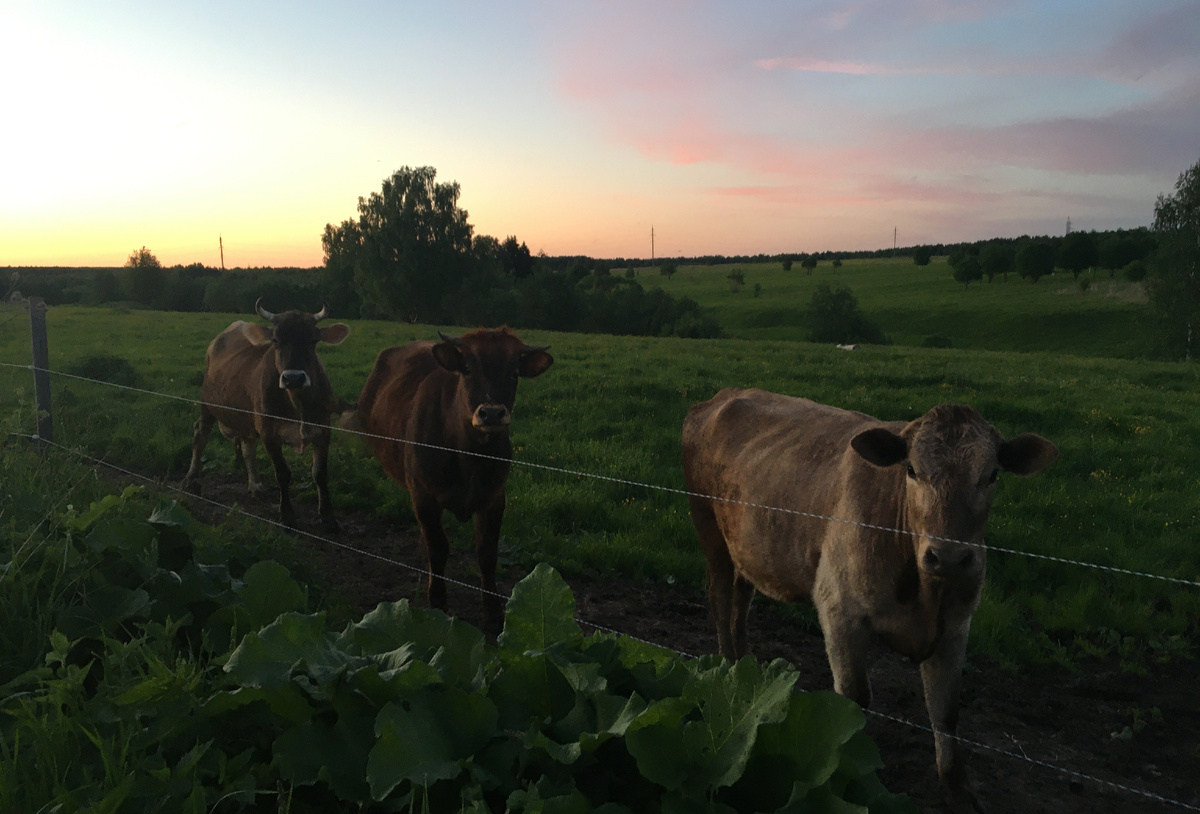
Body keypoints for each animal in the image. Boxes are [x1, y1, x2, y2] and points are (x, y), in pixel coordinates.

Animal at [180, 302, 350, 533]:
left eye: (313, 340)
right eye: (276, 340)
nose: (293, 378)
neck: (297, 404)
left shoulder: (323, 430)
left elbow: (320, 473)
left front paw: (328, 517)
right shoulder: (269, 433)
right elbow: (283, 474)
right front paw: (287, 516)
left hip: (246, 417)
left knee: (247, 447)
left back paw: (256, 486)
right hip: (208, 405)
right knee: (200, 435)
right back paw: (191, 478)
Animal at [348, 328, 552, 633]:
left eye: (514, 373)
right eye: (467, 369)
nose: (492, 413)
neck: (468, 457)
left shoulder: (495, 497)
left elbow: (487, 553)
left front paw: (493, 614)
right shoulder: (423, 496)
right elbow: (438, 548)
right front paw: (438, 604)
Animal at [686, 388, 1060, 811]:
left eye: (992, 474)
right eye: (912, 469)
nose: (948, 556)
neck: (924, 593)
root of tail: (726, 394)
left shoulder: (956, 628)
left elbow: (946, 712)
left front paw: (958, 789)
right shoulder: (839, 610)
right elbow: (854, 701)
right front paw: (850, 771)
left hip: (746, 549)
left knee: (740, 602)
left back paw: (747, 669)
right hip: (710, 533)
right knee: (720, 602)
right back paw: (729, 670)